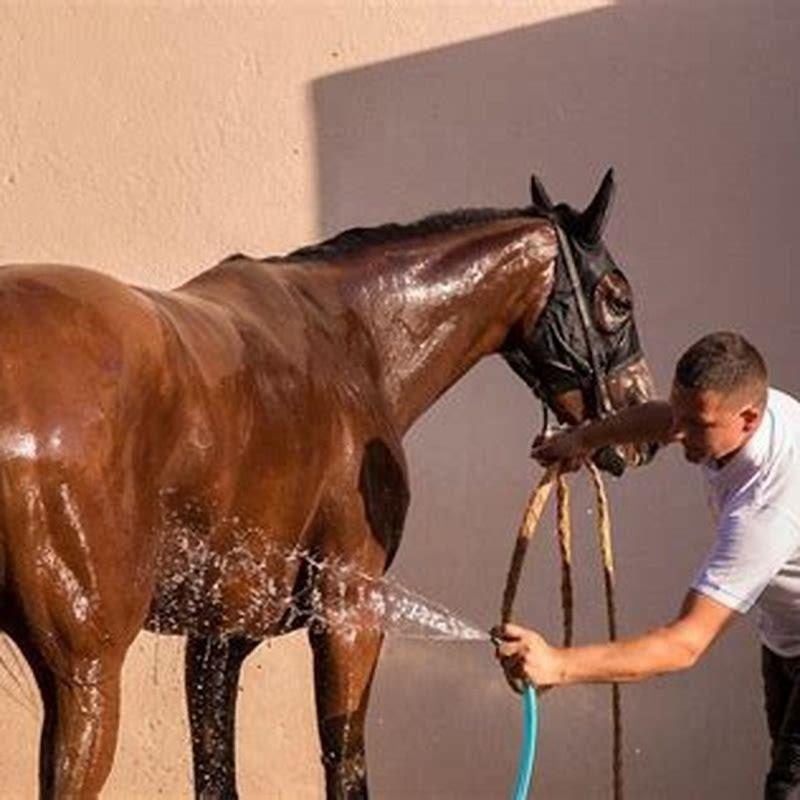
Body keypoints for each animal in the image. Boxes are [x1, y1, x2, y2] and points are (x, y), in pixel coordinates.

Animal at [0, 168, 655, 799]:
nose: (641, 424)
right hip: (87, 674)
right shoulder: (349, 612)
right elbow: (346, 766)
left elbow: (218, 775)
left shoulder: (221, 636)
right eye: (618, 299)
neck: (355, 337)